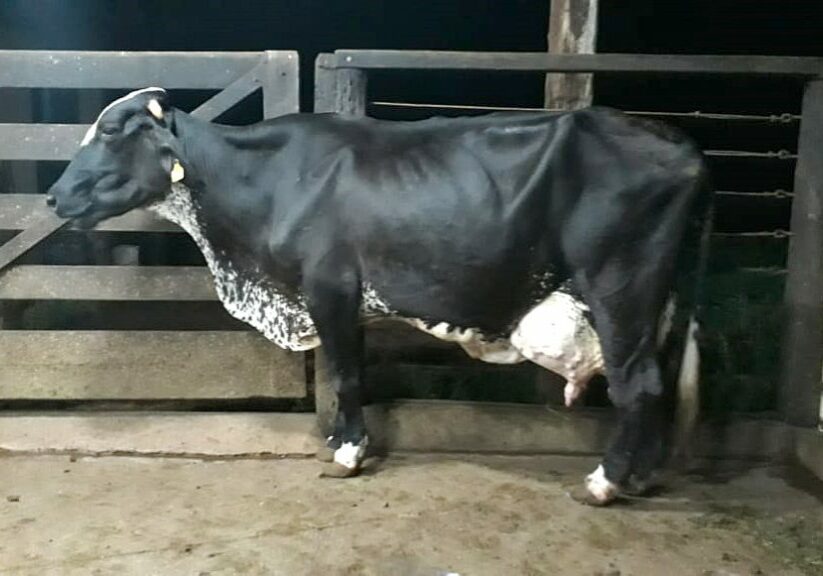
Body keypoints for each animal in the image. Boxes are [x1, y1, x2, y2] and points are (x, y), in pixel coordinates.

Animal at [46, 87, 712, 506]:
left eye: (111, 131)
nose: (53, 196)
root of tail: (681, 145)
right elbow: (348, 372)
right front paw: (343, 442)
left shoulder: (330, 288)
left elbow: (345, 373)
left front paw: (348, 453)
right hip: (658, 299)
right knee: (659, 382)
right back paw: (641, 477)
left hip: (620, 286)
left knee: (637, 385)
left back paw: (605, 484)